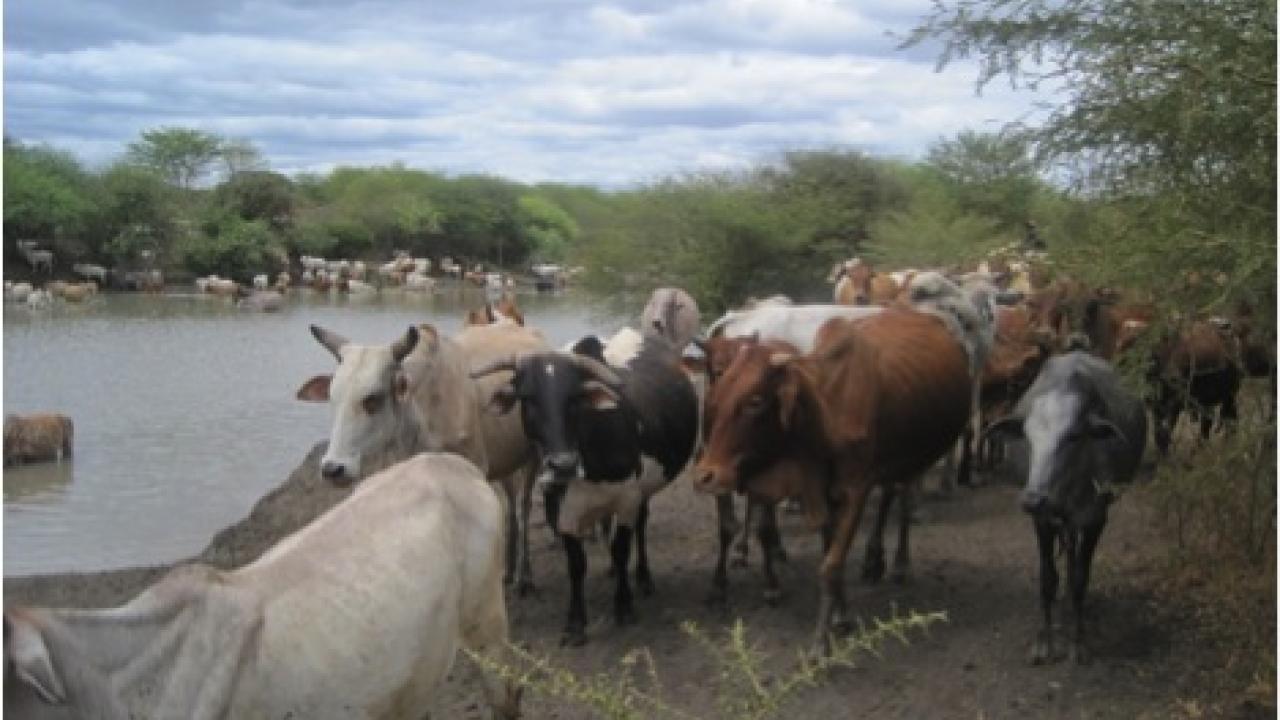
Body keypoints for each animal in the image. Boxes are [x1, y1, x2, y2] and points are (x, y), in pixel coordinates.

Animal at [299, 322, 550, 591]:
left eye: (372, 399)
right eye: (332, 398)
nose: (333, 469)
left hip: (534, 455)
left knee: (524, 506)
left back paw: (525, 575)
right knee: (512, 504)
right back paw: (509, 569)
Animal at [473, 325, 701, 645]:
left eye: (575, 397)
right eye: (528, 398)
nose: (562, 464)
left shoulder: (627, 499)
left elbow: (621, 550)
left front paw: (624, 606)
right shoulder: (561, 510)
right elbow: (576, 565)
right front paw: (575, 622)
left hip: (644, 491)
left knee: (641, 526)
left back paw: (643, 578)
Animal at [696, 304, 962, 653]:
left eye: (755, 401)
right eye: (717, 389)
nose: (705, 475)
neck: (825, 415)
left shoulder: (855, 490)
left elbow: (831, 565)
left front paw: (821, 643)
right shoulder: (820, 491)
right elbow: (829, 553)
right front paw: (841, 617)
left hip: (911, 460)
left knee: (901, 502)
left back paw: (896, 564)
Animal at [977, 351, 1152, 666]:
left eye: (1073, 436)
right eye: (1028, 437)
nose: (1033, 499)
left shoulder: (1095, 518)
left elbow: (1081, 578)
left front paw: (1078, 641)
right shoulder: (1043, 521)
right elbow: (1047, 579)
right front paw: (1044, 642)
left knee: (1074, 564)